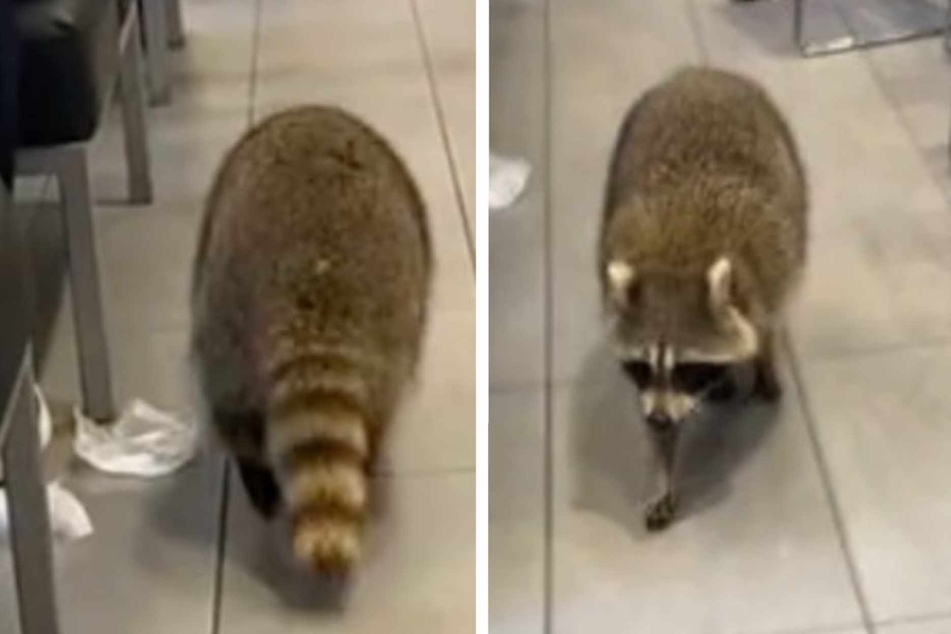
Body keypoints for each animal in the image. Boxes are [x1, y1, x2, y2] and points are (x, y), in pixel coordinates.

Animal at [598, 67, 807, 531]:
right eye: (641, 366)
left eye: (687, 367)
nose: (658, 419)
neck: (674, 262)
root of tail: (699, 73)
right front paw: (662, 468)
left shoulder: (768, 273)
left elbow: (766, 325)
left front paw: (763, 359)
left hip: (792, 178)